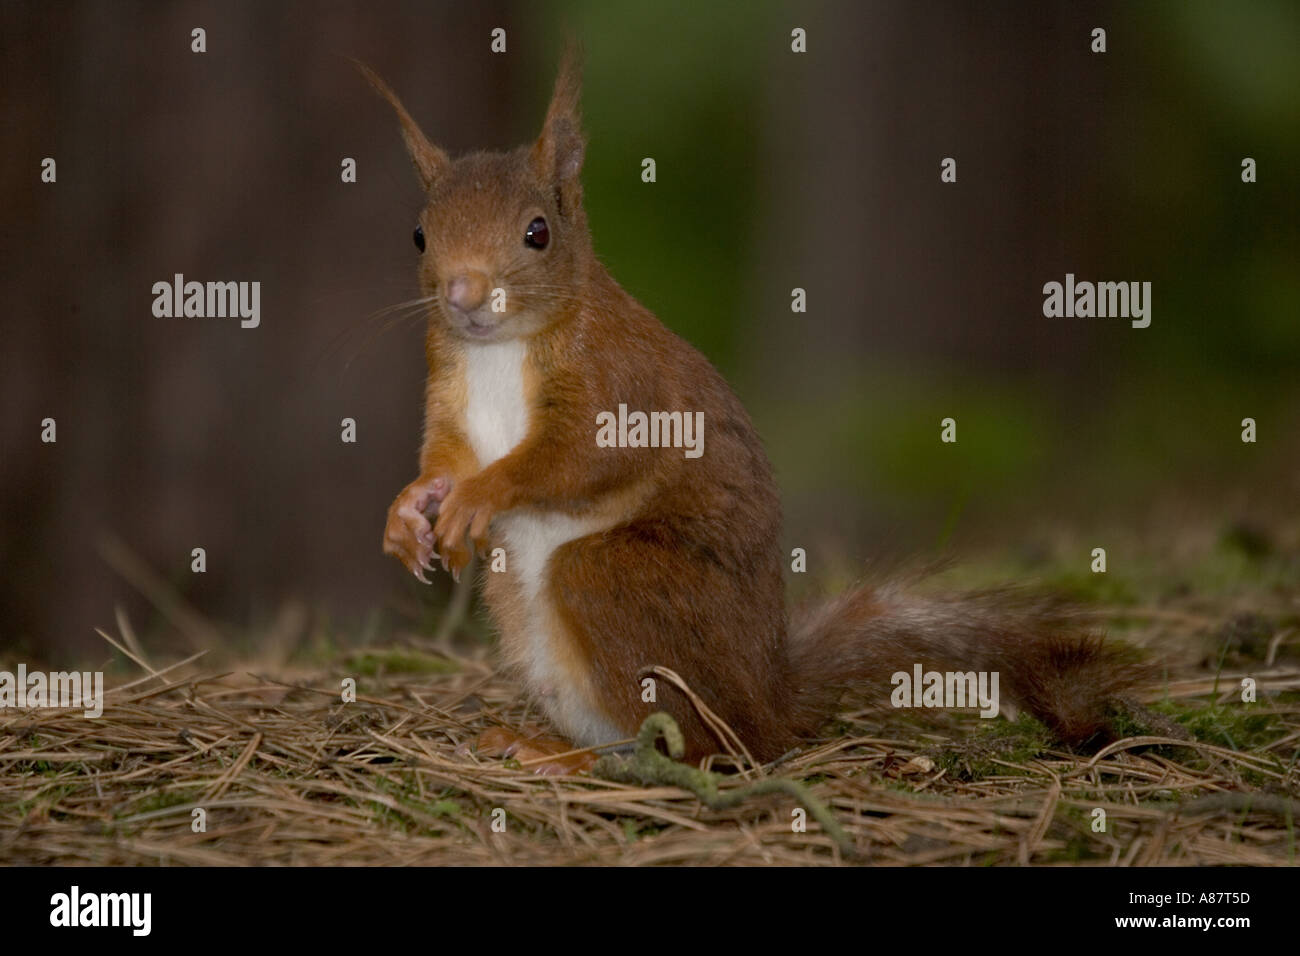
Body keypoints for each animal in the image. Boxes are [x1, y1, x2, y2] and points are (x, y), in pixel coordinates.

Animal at [366, 50, 1149, 770]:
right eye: (419, 234)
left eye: (537, 232)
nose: (463, 295)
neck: (499, 352)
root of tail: (769, 702)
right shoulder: (450, 392)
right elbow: (446, 456)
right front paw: (411, 509)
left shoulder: (621, 383)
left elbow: (581, 456)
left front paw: (480, 496)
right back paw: (536, 742)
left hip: (623, 591)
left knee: (697, 743)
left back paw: (587, 759)